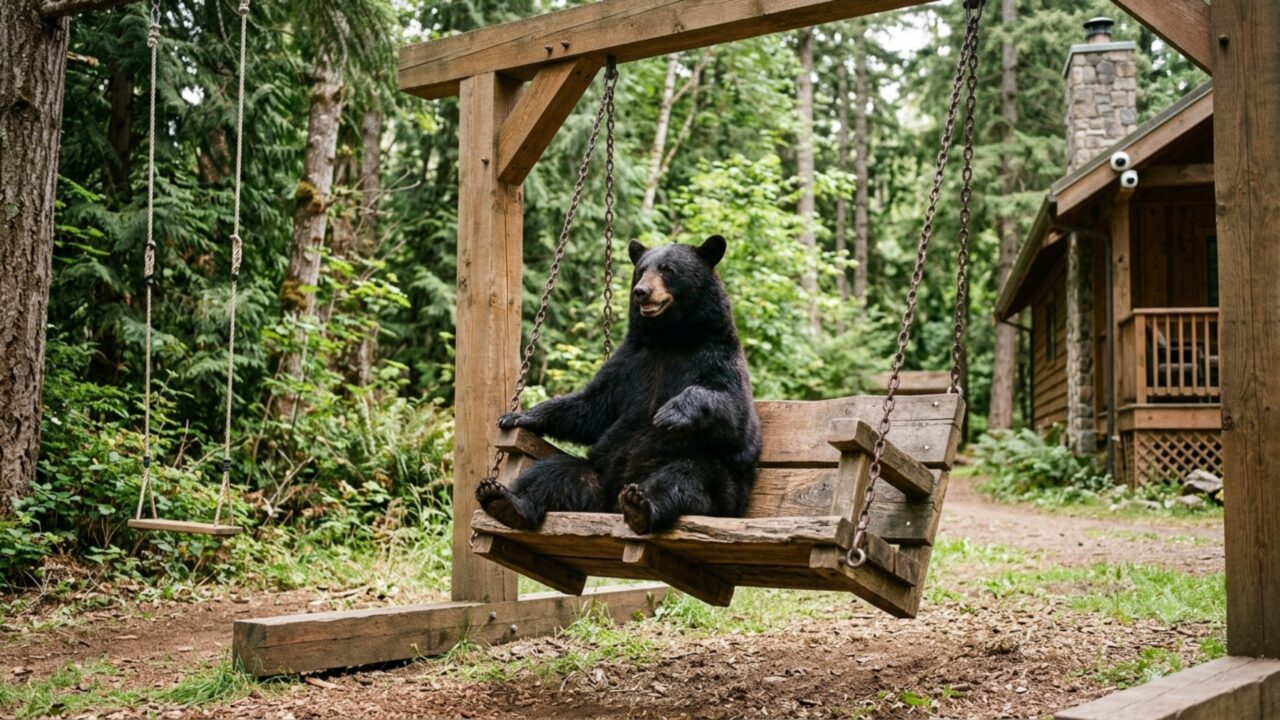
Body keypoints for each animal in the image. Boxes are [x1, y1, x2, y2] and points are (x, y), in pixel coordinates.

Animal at [475, 234, 762, 535]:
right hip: (597, 473)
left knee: (684, 476)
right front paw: (518, 416)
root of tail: (611, 504)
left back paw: (641, 505)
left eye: (668, 270)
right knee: (554, 471)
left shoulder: (716, 356)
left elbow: (734, 414)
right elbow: (593, 406)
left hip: (720, 489)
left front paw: (672, 412)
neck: (669, 337)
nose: (641, 291)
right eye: (642, 270)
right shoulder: (630, 363)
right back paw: (505, 500)